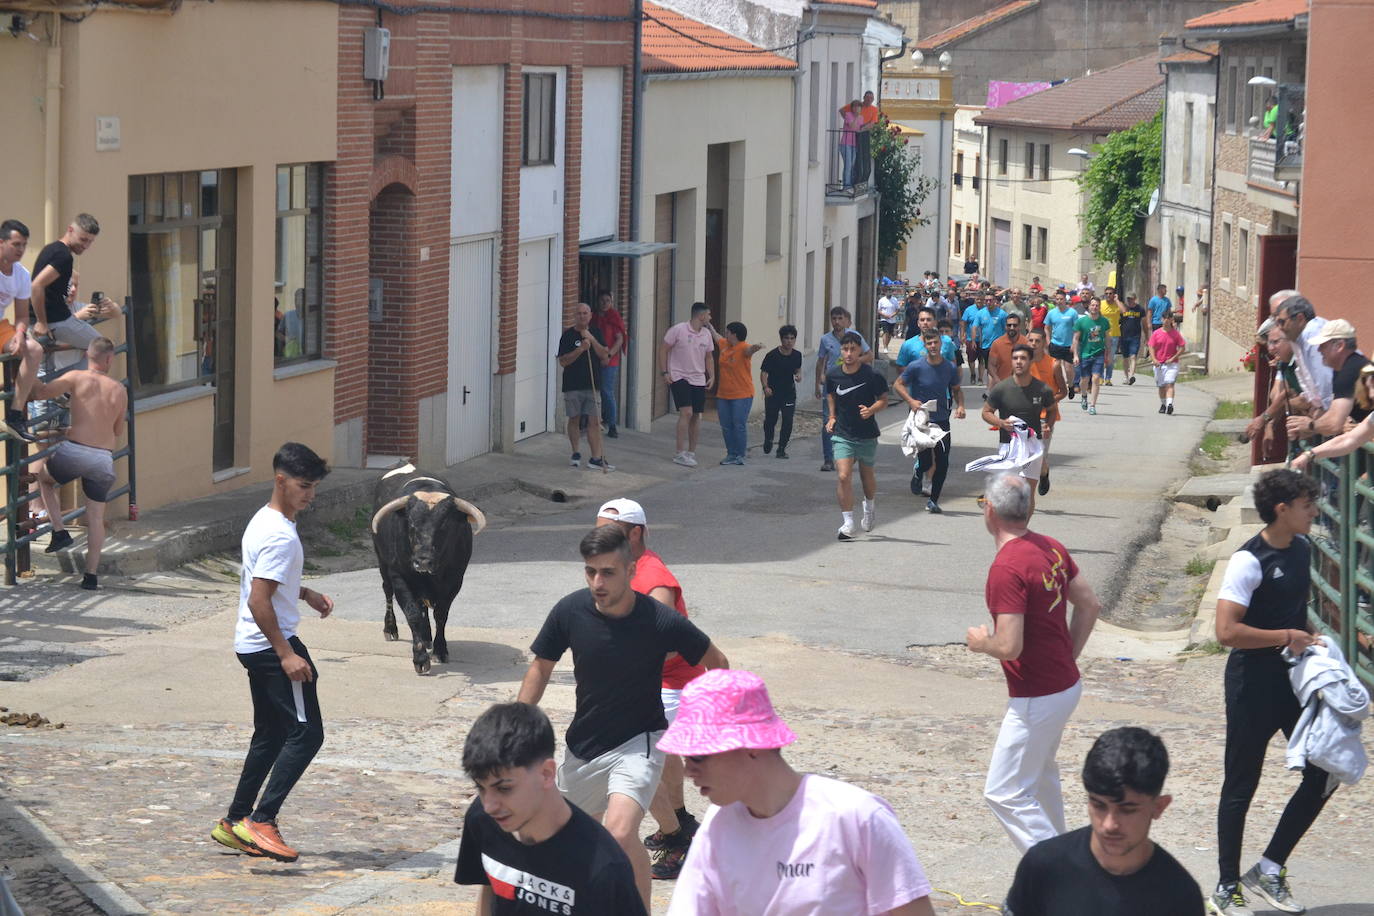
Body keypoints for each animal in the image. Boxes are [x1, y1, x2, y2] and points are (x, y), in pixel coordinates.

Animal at [370, 472, 489, 672]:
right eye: (411, 524)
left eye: (444, 525)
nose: (422, 561)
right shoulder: (399, 576)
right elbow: (413, 614)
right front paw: (420, 658)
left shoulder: (454, 581)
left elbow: (441, 615)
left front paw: (440, 651)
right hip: (382, 563)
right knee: (388, 591)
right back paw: (391, 629)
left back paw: (427, 638)